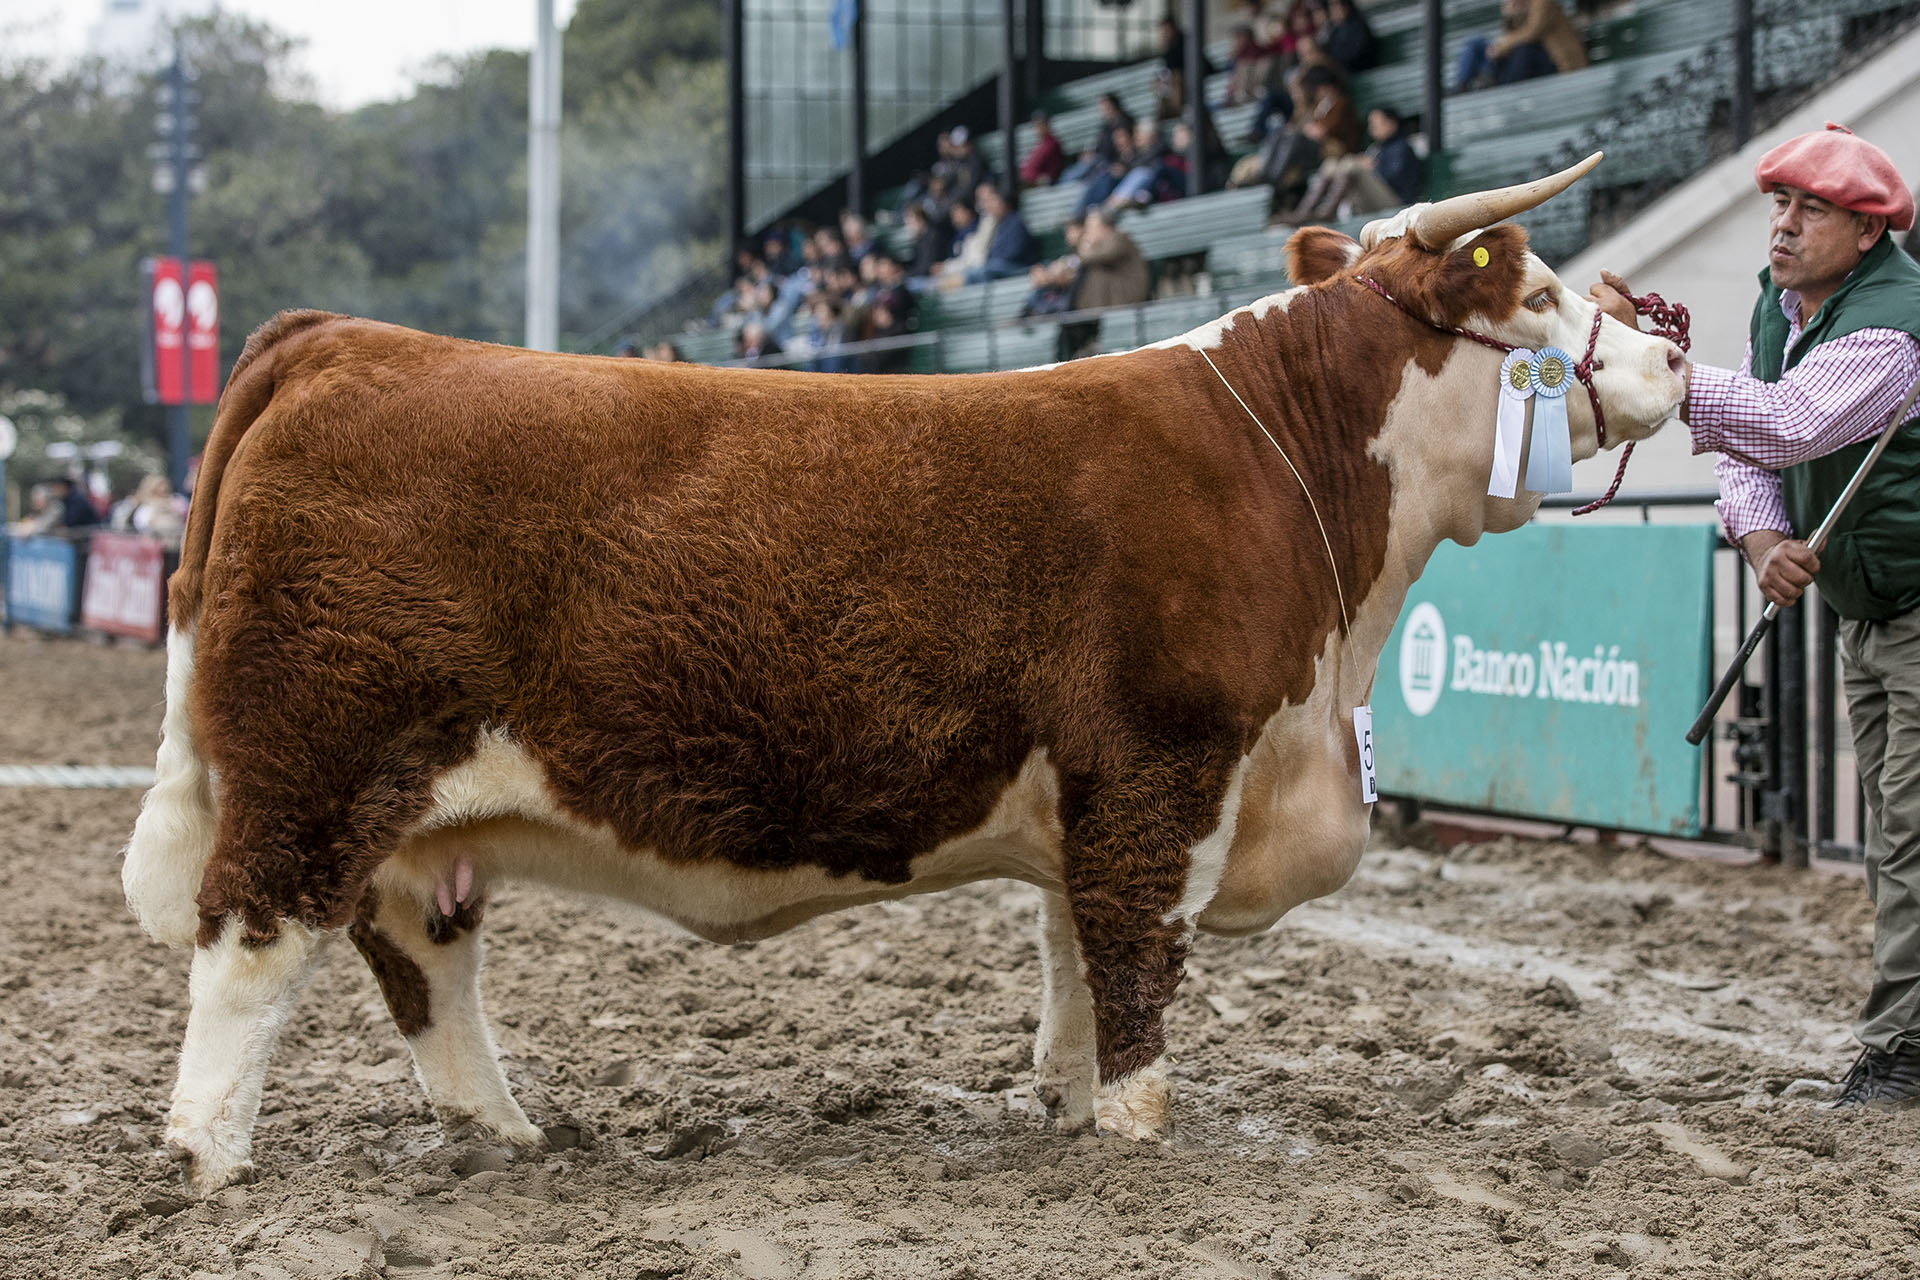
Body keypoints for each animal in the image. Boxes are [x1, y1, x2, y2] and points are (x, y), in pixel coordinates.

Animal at [123, 155, 1681, 1197]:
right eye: (1543, 292)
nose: (1669, 342)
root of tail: (339, 339)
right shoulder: (1164, 765)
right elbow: (1134, 959)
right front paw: (1141, 1134)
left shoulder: (1093, 790)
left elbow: (1070, 953)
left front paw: (1067, 1110)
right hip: (315, 763)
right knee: (254, 937)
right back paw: (211, 1159)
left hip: (411, 802)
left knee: (418, 952)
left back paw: (502, 1133)